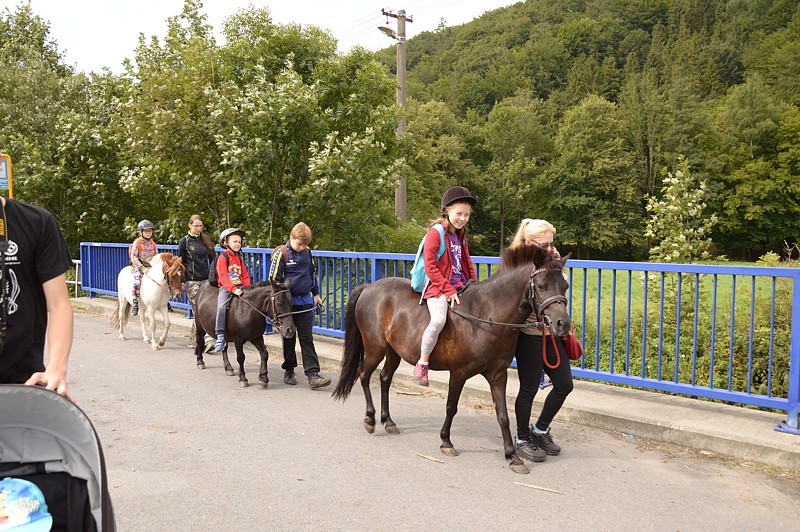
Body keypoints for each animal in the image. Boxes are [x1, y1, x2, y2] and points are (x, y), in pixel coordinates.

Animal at [332, 245, 568, 474]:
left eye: (565, 286)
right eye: (541, 286)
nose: (563, 324)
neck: (488, 315)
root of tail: (368, 287)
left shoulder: (498, 376)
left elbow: (503, 416)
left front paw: (513, 457)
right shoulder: (459, 372)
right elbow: (451, 407)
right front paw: (446, 441)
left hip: (393, 351)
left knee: (384, 379)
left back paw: (388, 421)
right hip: (375, 348)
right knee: (364, 375)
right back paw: (370, 419)